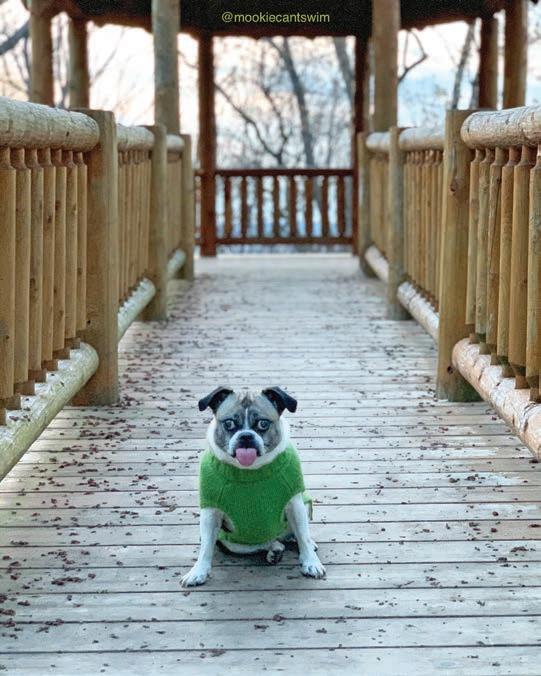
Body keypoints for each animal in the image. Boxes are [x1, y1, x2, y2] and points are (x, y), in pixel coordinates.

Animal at [181, 386, 325, 587]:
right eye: (229, 424)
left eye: (263, 424)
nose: (246, 436)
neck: (250, 470)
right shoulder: (210, 513)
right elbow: (205, 548)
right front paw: (198, 571)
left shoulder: (295, 504)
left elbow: (302, 536)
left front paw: (311, 562)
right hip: (232, 541)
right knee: (264, 543)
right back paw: (274, 550)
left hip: (304, 504)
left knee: (296, 533)